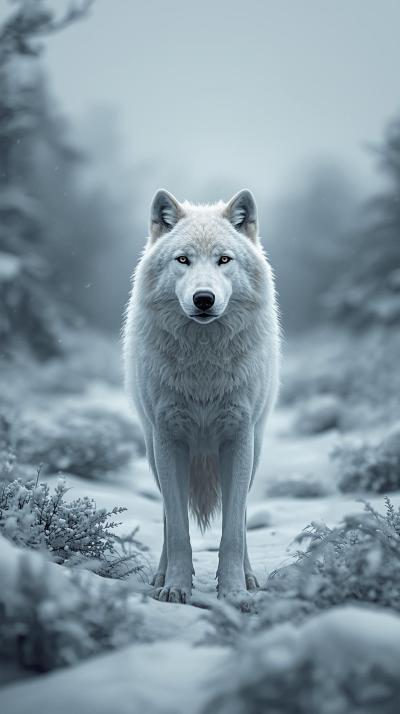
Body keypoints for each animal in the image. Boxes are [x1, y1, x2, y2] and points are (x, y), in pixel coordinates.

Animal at [123, 188, 280, 604]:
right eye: (183, 260)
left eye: (224, 259)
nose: (204, 298)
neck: (204, 364)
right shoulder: (168, 440)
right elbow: (178, 529)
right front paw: (176, 587)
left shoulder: (239, 439)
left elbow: (232, 533)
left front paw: (234, 591)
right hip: (153, 454)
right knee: (166, 516)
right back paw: (160, 576)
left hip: (254, 451)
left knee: (241, 518)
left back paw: (249, 578)